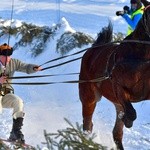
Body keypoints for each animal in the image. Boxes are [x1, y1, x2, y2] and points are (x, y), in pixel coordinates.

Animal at [78, 5, 150, 149]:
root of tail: (94, 49)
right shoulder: (119, 88)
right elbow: (132, 114)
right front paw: (127, 120)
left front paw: (125, 119)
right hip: (89, 96)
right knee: (88, 124)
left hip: (117, 103)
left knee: (116, 133)